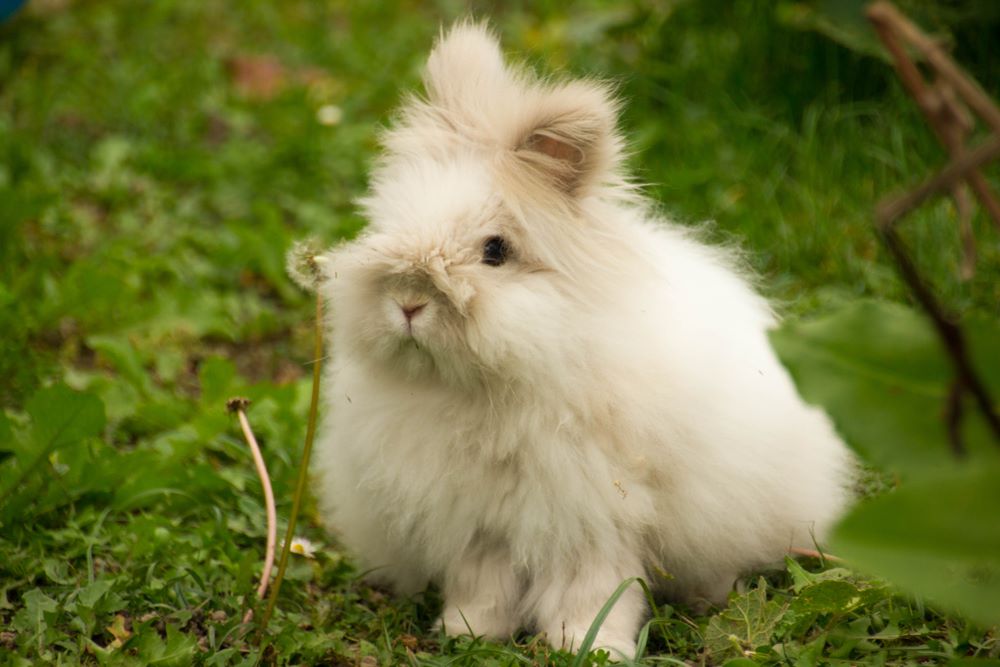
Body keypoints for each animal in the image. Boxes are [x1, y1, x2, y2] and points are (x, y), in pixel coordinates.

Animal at [312, 21, 854, 659]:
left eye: (495, 250)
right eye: (389, 225)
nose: (408, 303)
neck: (491, 387)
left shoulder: (596, 517)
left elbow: (595, 588)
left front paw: (591, 647)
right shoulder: (480, 523)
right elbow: (483, 583)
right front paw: (468, 632)